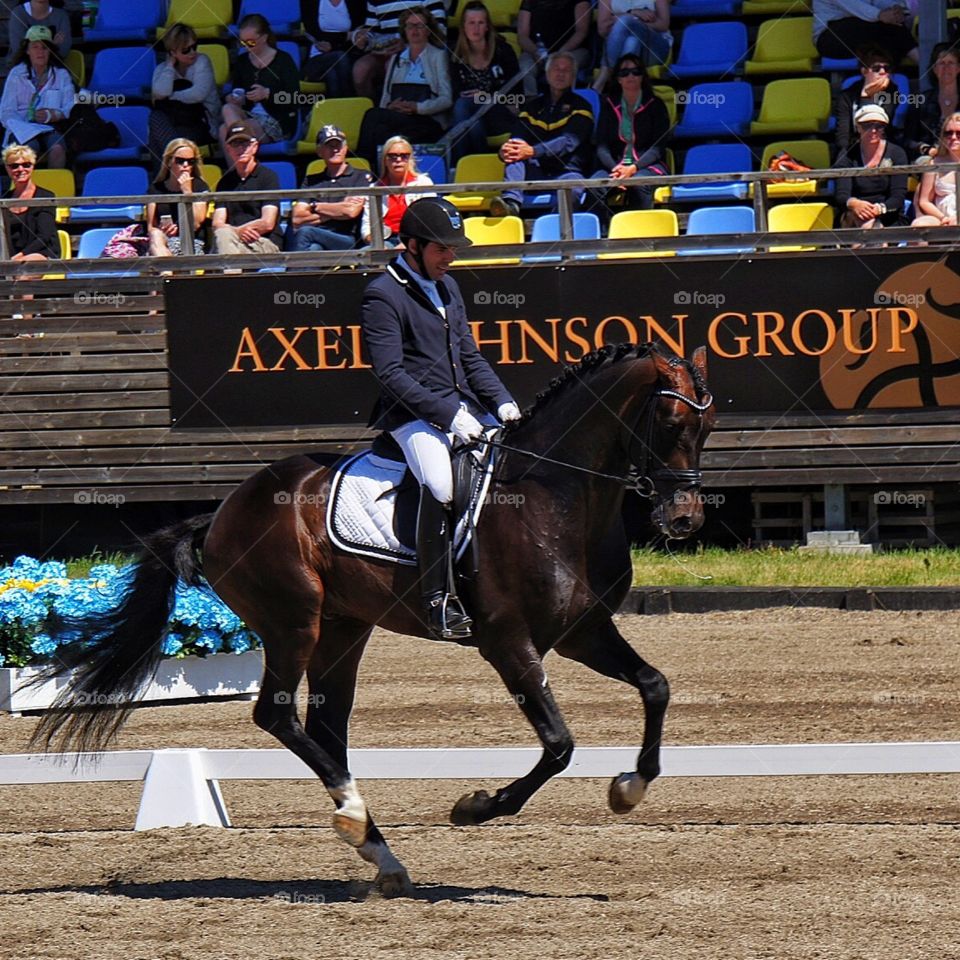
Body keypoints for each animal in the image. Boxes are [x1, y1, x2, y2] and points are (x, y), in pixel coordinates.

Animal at [32, 341, 715, 896]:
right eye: (670, 420)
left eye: (708, 425)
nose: (684, 519)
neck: (556, 497)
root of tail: (223, 510)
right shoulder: (507, 642)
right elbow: (558, 744)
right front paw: (476, 806)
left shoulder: (583, 633)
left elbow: (655, 686)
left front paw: (629, 786)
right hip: (294, 622)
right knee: (277, 714)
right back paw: (355, 817)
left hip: (343, 629)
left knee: (324, 728)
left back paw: (380, 854)